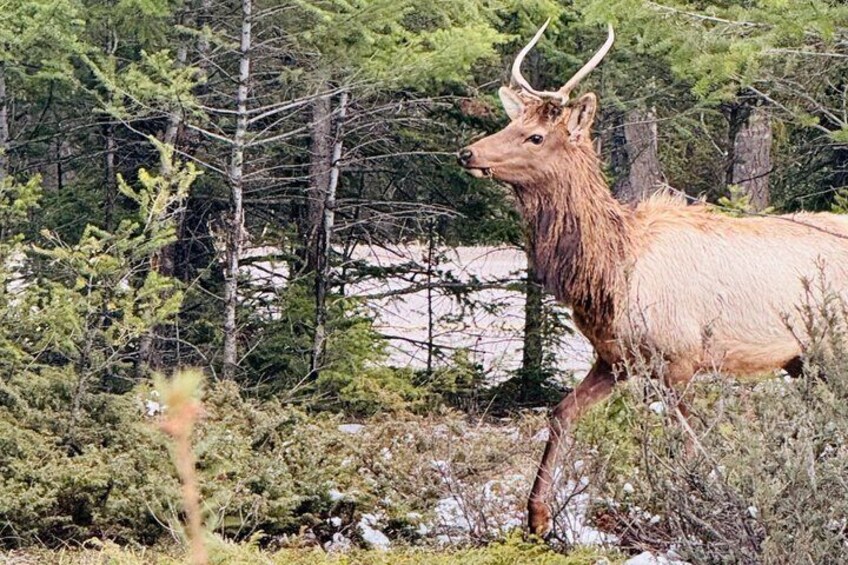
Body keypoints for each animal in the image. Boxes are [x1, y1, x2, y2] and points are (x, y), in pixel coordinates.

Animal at [457, 20, 848, 537]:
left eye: (536, 136)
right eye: (511, 123)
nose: (467, 152)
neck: (610, 274)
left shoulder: (681, 358)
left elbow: (687, 442)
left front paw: (691, 513)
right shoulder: (614, 359)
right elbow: (561, 413)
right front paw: (537, 517)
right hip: (804, 360)